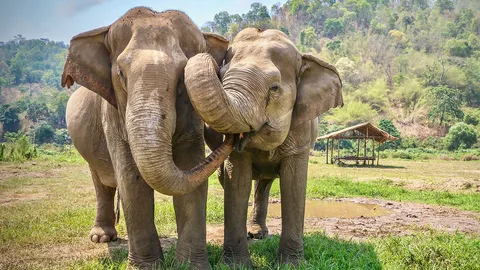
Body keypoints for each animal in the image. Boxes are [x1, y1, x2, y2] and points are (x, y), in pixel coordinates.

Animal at [62, 7, 235, 268]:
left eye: (182, 77)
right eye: (121, 73)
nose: (235, 137)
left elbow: (191, 170)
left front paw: (190, 265)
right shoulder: (112, 114)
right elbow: (131, 180)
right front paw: (146, 266)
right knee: (101, 182)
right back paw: (101, 237)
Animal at [183, 28, 342, 266]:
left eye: (274, 88)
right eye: (221, 76)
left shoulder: (302, 133)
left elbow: (294, 185)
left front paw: (291, 265)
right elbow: (237, 183)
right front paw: (236, 265)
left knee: (264, 184)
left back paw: (258, 233)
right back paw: (253, 234)